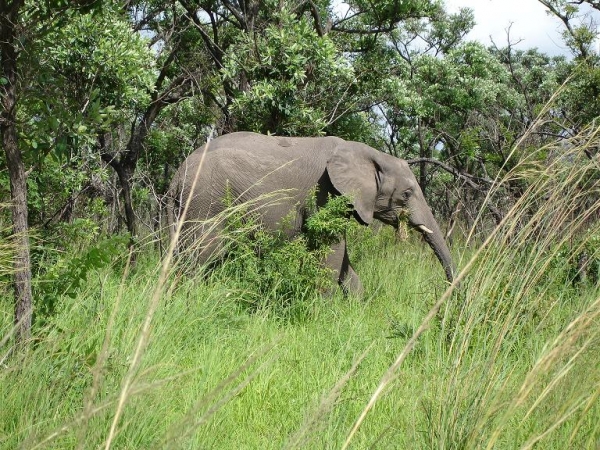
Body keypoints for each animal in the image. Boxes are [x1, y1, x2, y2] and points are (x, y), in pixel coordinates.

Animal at [165, 131, 454, 292]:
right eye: (406, 194)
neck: (367, 152)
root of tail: (176, 178)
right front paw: (323, 310)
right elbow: (333, 253)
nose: (448, 292)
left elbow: (343, 262)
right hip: (206, 204)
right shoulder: (324, 193)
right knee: (200, 258)